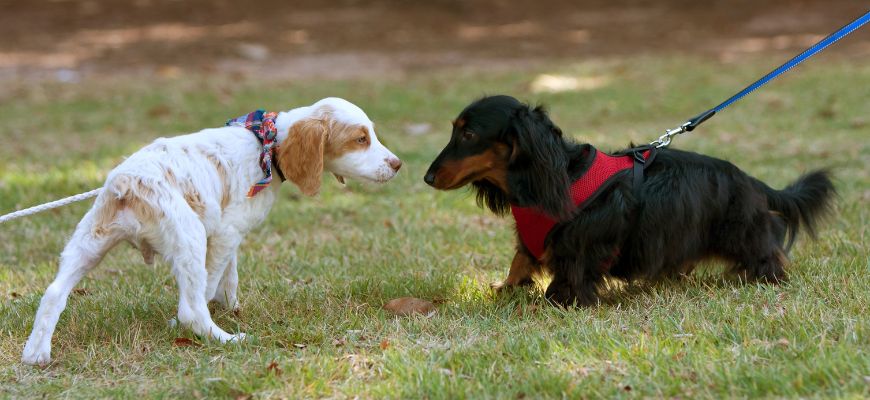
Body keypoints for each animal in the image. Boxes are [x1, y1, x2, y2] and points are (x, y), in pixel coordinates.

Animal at [20, 97, 402, 366]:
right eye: (360, 139)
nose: (398, 164)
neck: (267, 145)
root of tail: (128, 182)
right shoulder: (225, 234)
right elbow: (213, 282)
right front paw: (217, 315)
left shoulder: (227, 232)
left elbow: (229, 276)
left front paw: (231, 305)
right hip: (188, 236)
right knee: (191, 308)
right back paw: (227, 339)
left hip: (88, 241)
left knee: (53, 293)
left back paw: (36, 354)